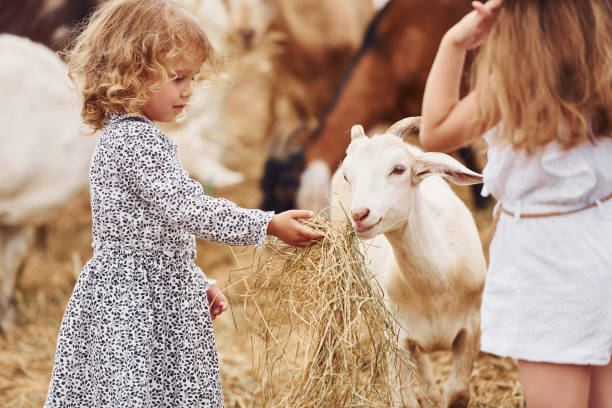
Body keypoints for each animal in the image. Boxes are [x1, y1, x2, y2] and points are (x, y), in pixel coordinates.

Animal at [330, 116, 488, 406]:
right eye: (348, 175)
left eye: (399, 169)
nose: (359, 215)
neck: (437, 286)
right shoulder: (396, 335)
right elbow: (404, 396)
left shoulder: (471, 327)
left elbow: (458, 391)